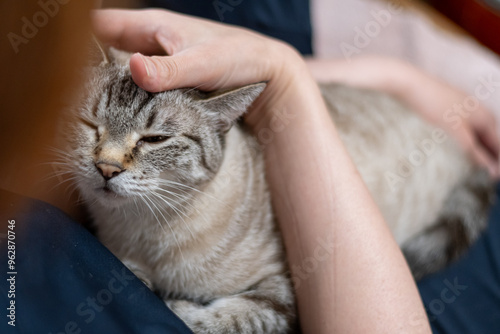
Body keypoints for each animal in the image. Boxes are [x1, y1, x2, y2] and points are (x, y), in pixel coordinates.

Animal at [60, 47, 494, 334]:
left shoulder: (285, 286)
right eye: (90, 125)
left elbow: (216, 319)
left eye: (155, 139)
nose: (106, 168)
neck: (142, 231)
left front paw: (170, 300)